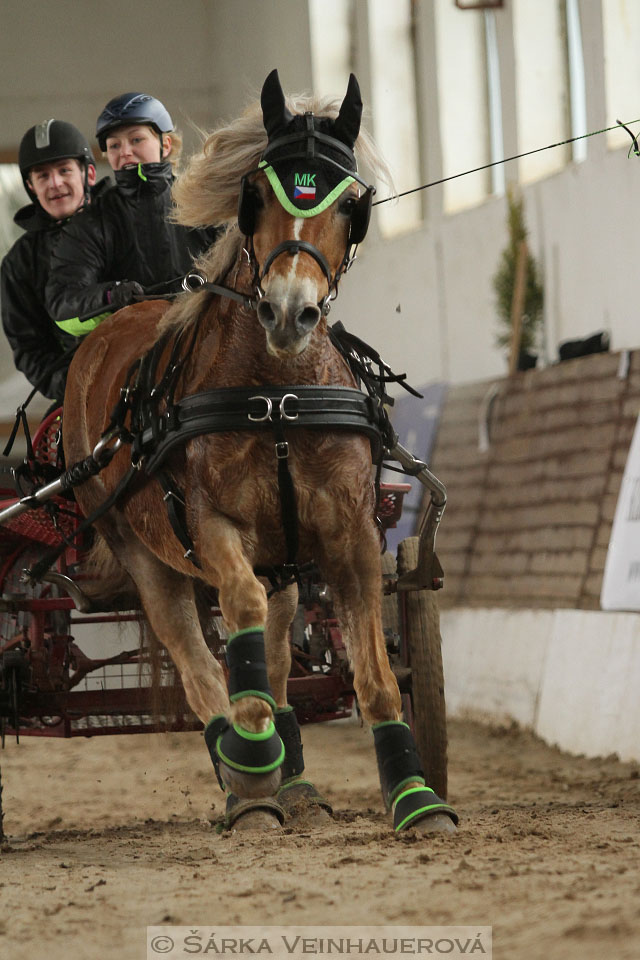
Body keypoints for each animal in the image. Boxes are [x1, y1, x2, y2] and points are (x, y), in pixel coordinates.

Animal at [62, 69, 458, 832]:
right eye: (258, 193)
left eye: (348, 200)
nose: (287, 312)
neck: (279, 394)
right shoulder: (213, 525)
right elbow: (235, 612)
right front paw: (249, 758)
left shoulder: (348, 531)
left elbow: (374, 676)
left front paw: (416, 796)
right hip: (140, 548)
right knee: (200, 665)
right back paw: (245, 777)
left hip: (288, 557)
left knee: (277, 656)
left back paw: (289, 768)